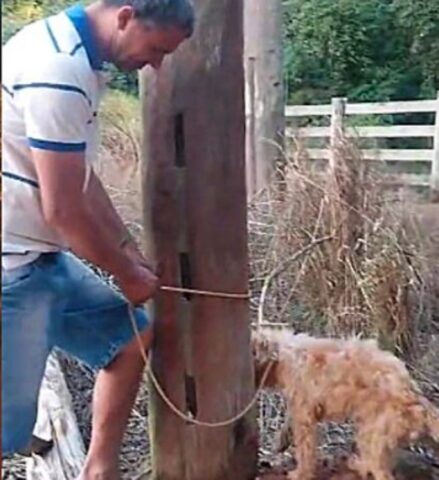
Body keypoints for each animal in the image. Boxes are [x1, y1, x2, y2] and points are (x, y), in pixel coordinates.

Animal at [251, 328, 439, 480]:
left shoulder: (304, 416)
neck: (280, 355)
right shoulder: (299, 409)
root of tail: (415, 398)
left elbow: (305, 451)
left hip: (370, 434)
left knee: (381, 472)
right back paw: (357, 464)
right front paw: (280, 441)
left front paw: (300, 473)